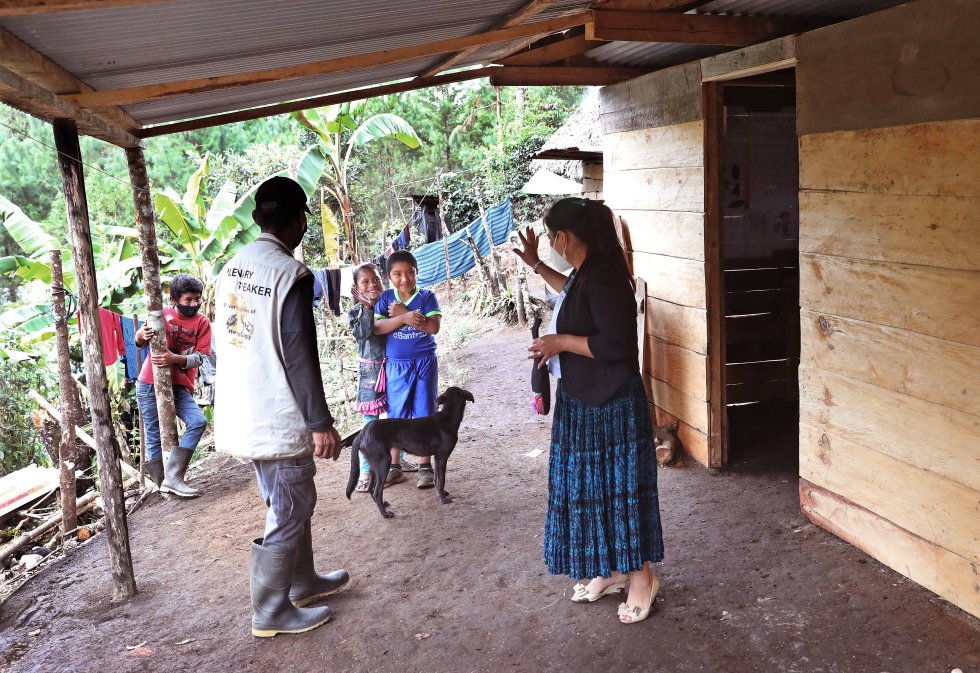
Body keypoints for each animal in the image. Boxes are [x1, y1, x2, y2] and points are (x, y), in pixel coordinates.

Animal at [346, 386, 476, 516]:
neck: (448, 416)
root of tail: (362, 433)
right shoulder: (442, 457)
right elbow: (441, 480)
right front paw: (443, 499)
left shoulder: (437, 458)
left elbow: (436, 479)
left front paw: (441, 493)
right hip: (384, 463)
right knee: (377, 491)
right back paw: (385, 514)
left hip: (374, 465)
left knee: (370, 489)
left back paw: (383, 505)